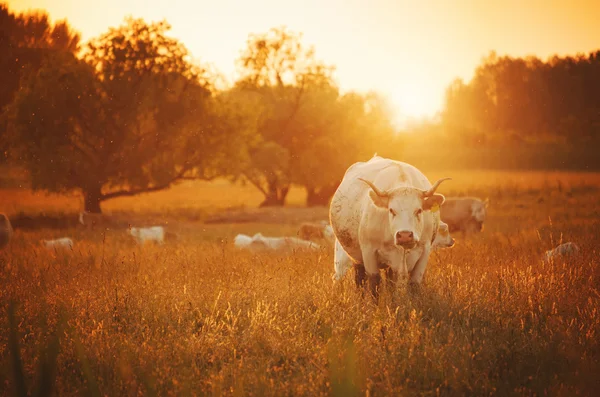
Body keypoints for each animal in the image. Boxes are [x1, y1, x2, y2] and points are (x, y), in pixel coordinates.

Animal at [328, 154, 450, 294]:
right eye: (391, 210)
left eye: (419, 210)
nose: (404, 235)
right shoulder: (369, 252)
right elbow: (374, 283)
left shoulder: (424, 251)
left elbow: (413, 284)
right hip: (354, 257)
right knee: (360, 280)